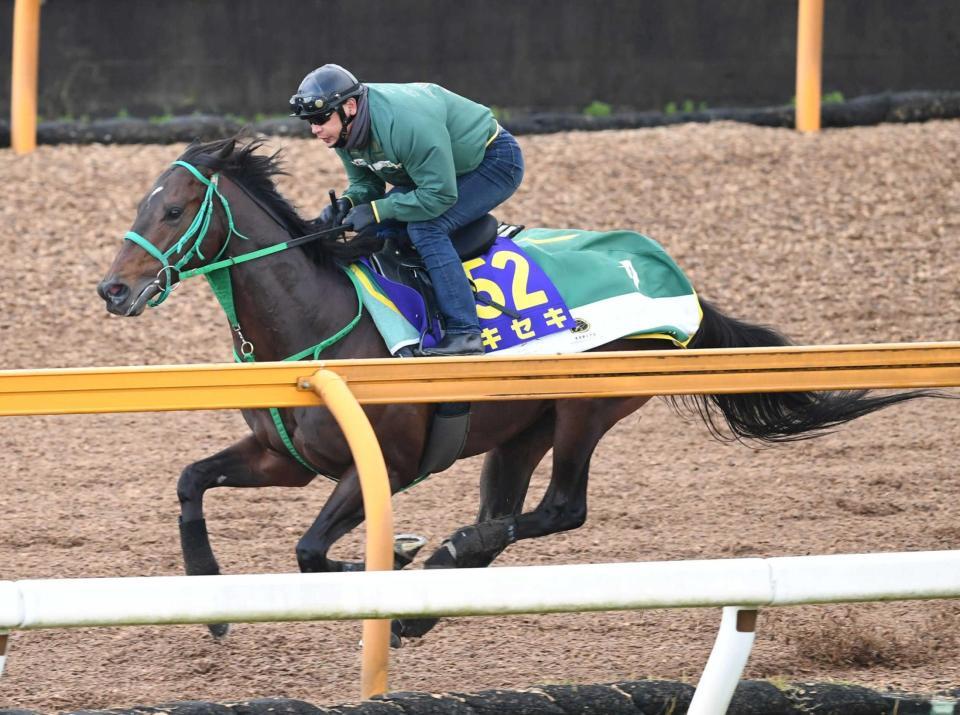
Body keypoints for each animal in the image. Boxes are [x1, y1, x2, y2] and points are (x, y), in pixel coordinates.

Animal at [97, 137, 928, 640]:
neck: (320, 319)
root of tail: (669, 273)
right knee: (508, 511)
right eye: (139, 205)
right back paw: (435, 592)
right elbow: (191, 480)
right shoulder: (284, 458)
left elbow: (308, 551)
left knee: (558, 509)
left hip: (585, 409)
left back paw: (444, 560)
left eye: (173, 208)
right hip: (517, 429)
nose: (113, 289)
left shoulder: (384, 463)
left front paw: (398, 555)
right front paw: (209, 600)